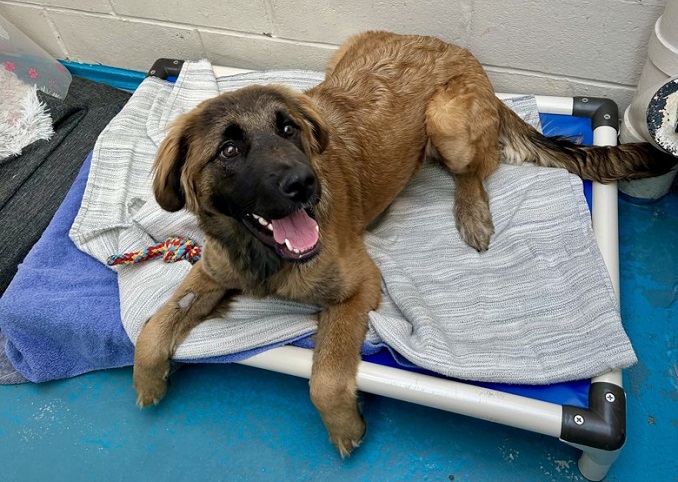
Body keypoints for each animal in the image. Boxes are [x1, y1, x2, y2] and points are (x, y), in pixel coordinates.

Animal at [132, 31, 676, 456]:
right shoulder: (209, 273)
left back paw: (471, 211)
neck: (261, 252)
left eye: (288, 128)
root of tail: (463, 56)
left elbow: (326, 375)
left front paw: (345, 427)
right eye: (228, 150)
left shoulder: (358, 288)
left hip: (445, 121)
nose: (305, 184)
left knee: (476, 170)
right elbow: (152, 328)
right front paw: (147, 379)